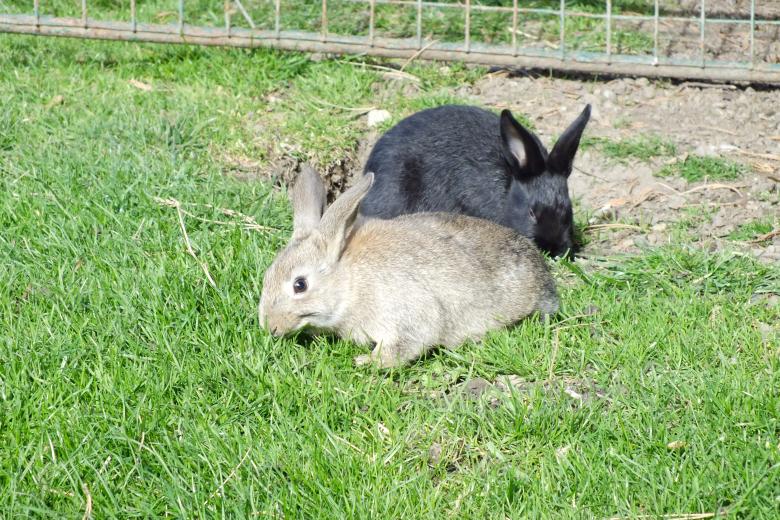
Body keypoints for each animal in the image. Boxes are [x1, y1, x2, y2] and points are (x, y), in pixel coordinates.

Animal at [258, 165, 559, 368]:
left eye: (300, 285)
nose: (271, 327)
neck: (349, 281)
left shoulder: (406, 313)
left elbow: (402, 347)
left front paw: (365, 361)